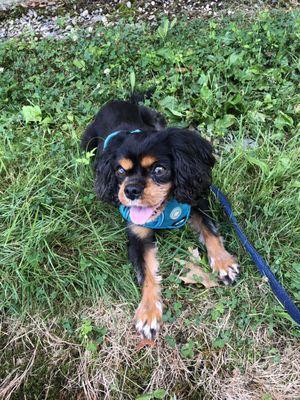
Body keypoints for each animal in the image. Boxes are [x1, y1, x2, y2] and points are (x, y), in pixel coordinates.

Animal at [81, 92, 240, 340]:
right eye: (120, 171)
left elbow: (211, 231)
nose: (130, 190)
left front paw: (223, 263)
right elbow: (147, 273)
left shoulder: (195, 202)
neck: (164, 209)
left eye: (159, 170)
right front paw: (148, 312)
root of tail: (115, 101)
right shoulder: (138, 237)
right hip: (87, 143)